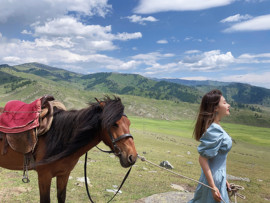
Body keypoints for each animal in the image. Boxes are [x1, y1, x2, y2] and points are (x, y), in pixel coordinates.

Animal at [0, 96, 136, 203]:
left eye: (129, 123)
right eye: (114, 124)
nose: (132, 157)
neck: (56, 137)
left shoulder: (64, 174)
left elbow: (61, 197)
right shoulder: (44, 175)